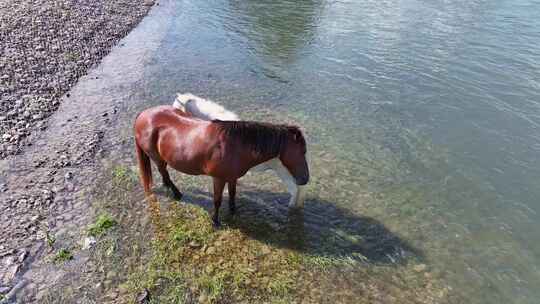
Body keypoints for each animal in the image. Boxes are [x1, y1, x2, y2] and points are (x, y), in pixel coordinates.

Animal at [133, 105, 310, 227]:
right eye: (302, 151)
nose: (305, 179)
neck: (235, 145)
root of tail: (143, 115)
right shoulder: (218, 178)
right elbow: (217, 200)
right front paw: (215, 221)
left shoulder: (232, 178)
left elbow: (232, 195)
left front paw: (233, 211)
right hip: (156, 157)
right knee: (164, 172)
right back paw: (177, 193)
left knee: (164, 174)